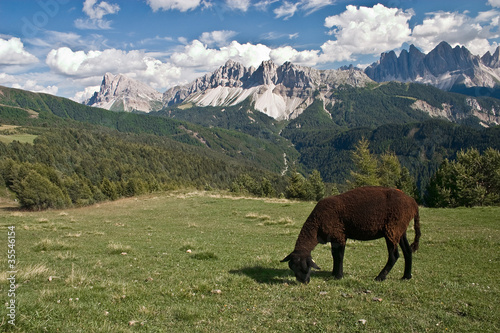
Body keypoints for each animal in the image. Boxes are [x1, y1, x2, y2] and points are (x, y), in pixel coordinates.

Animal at [284, 185, 420, 282]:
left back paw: (380, 277)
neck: (316, 223)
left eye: (303, 266)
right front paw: (334, 273)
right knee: (407, 251)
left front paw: (338, 276)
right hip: (400, 229)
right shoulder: (335, 237)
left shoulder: (339, 235)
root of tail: (413, 203)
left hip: (392, 229)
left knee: (394, 255)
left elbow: (339, 256)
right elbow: (334, 255)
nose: (303, 281)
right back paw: (406, 276)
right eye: (292, 267)